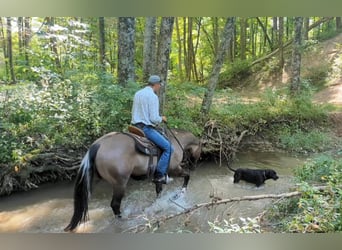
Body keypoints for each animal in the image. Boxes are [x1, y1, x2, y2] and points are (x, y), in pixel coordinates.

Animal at [63, 128, 200, 231]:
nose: (194, 166)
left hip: (93, 181)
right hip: (120, 183)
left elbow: (159, 192)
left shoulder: (158, 177)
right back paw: (123, 219)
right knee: (115, 204)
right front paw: (179, 194)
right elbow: (187, 176)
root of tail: (98, 145)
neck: (176, 143)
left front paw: (158, 205)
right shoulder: (174, 169)